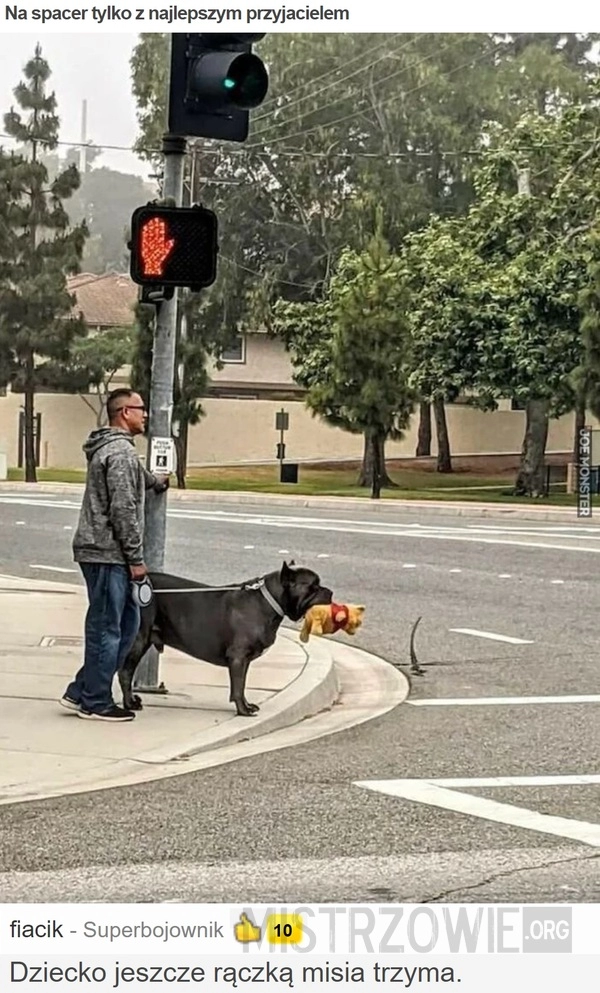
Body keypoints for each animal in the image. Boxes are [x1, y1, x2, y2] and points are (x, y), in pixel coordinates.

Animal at [118, 564, 332, 712]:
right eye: (313, 586)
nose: (330, 591)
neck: (268, 602)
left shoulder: (244, 661)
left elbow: (242, 684)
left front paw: (246, 705)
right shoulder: (238, 657)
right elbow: (237, 686)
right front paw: (243, 710)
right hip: (138, 640)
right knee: (125, 673)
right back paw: (129, 703)